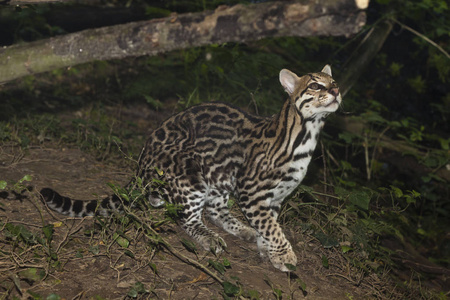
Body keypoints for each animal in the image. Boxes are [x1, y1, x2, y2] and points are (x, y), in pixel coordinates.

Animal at [41, 66, 342, 272]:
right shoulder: (252, 190)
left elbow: (270, 224)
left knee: (214, 210)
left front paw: (267, 250)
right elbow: (271, 226)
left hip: (218, 176)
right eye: (316, 85)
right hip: (190, 173)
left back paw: (240, 228)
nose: (336, 91)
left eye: (334, 82)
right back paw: (209, 237)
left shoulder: (276, 196)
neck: (307, 134)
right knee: (188, 219)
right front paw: (284, 254)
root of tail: (140, 164)